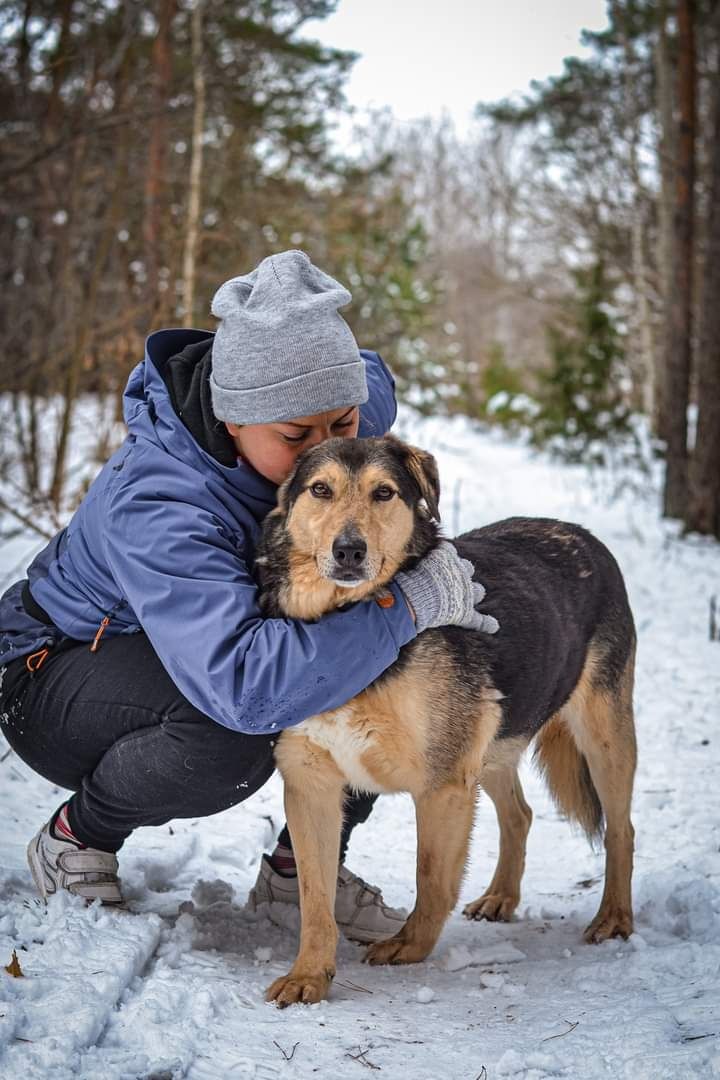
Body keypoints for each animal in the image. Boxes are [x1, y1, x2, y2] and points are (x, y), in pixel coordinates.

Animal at [253, 434, 634, 1006]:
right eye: (320, 490)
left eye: (383, 493)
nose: (348, 550)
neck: (348, 627)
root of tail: (581, 532)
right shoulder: (311, 785)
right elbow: (314, 898)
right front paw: (309, 974)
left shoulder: (443, 784)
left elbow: (431, 878)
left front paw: (409, 946)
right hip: (496, 740)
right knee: (519, 814)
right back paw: (501, 896)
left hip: (602, 735)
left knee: (621, 829)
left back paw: (613, 918)